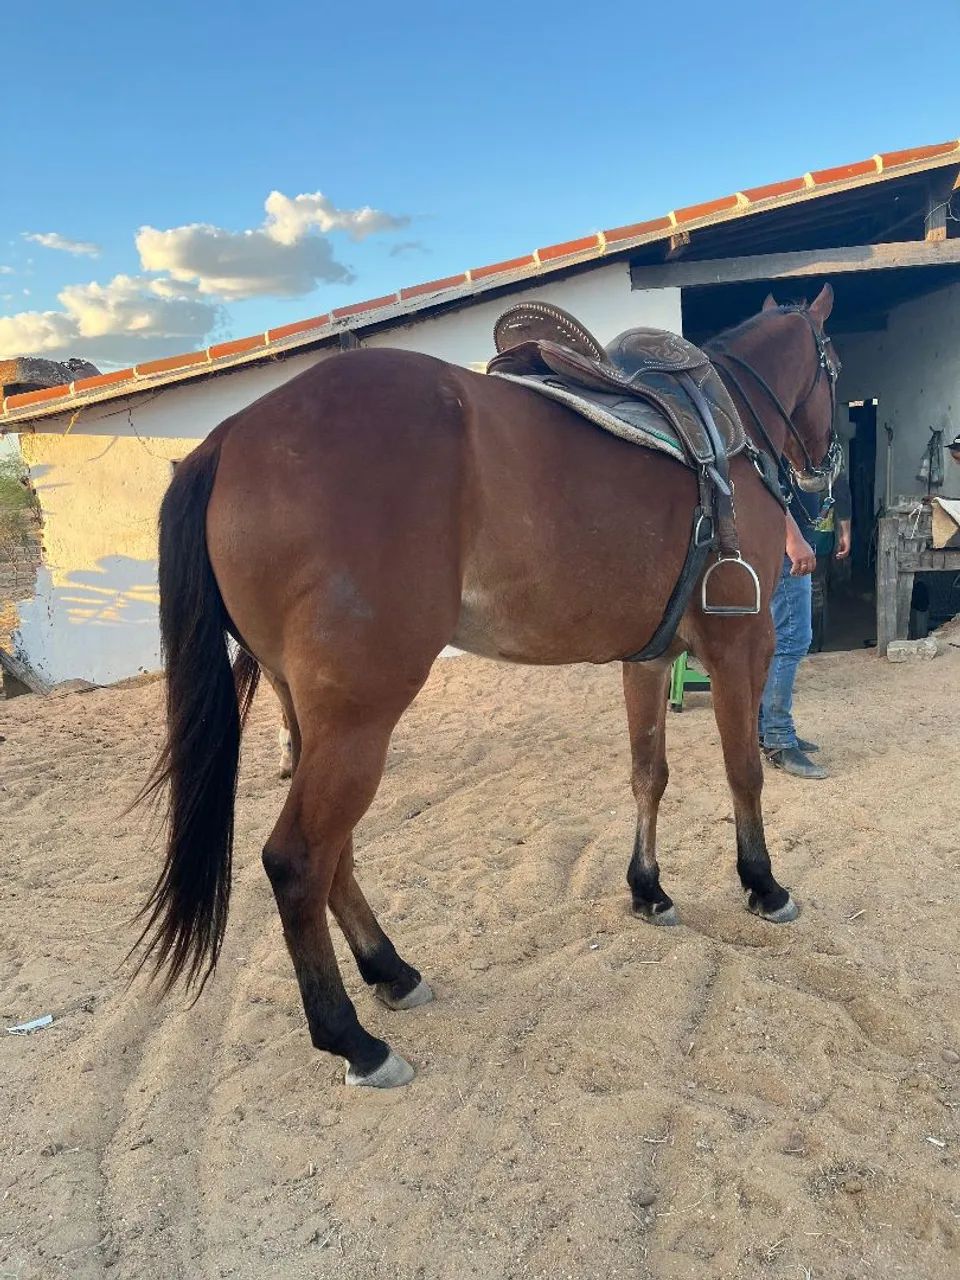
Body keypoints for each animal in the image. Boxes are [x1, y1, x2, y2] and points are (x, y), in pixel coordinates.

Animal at [134, 284, 839, 1089]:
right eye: (833, 365)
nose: (822, 479)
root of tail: (226, 438)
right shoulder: (740, 645)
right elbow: (744, 771)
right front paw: (763, 884)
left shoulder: (649, 660)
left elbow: (648, 774)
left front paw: (649, 889)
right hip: (360, 716)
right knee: (298, 861)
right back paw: (353, 1039)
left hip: (315, 716)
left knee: (335, 855)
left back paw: (391, 971)